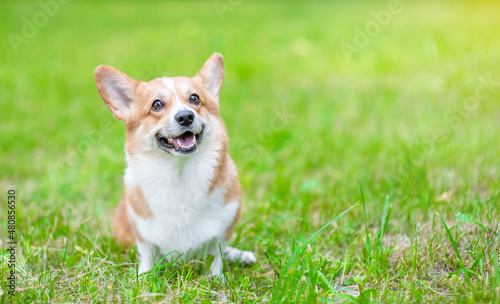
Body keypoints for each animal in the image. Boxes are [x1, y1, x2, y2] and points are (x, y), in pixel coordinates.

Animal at [94, 52, 258, 278]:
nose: (186, 116)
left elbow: (216, 255)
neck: (179, 172)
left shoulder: (222, 230)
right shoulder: (143, 235)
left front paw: (217, 278)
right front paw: (143, 279)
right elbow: (147, 256)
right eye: (157, 104)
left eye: (194, 98)